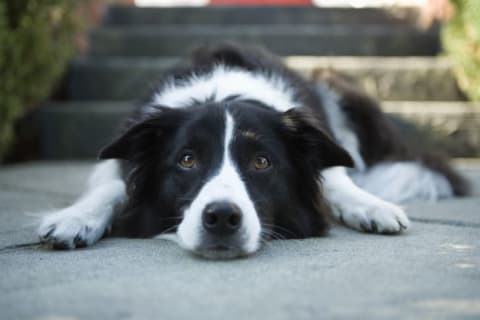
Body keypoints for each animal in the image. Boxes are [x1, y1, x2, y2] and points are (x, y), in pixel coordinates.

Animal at [38, 43, 468, 258]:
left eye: (262, 162)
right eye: (187, 160)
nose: (221, 218)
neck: (223, 90)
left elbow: (335, 178)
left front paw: (370, 206)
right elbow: (112, 185)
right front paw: (75, 218)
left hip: (336, 85)